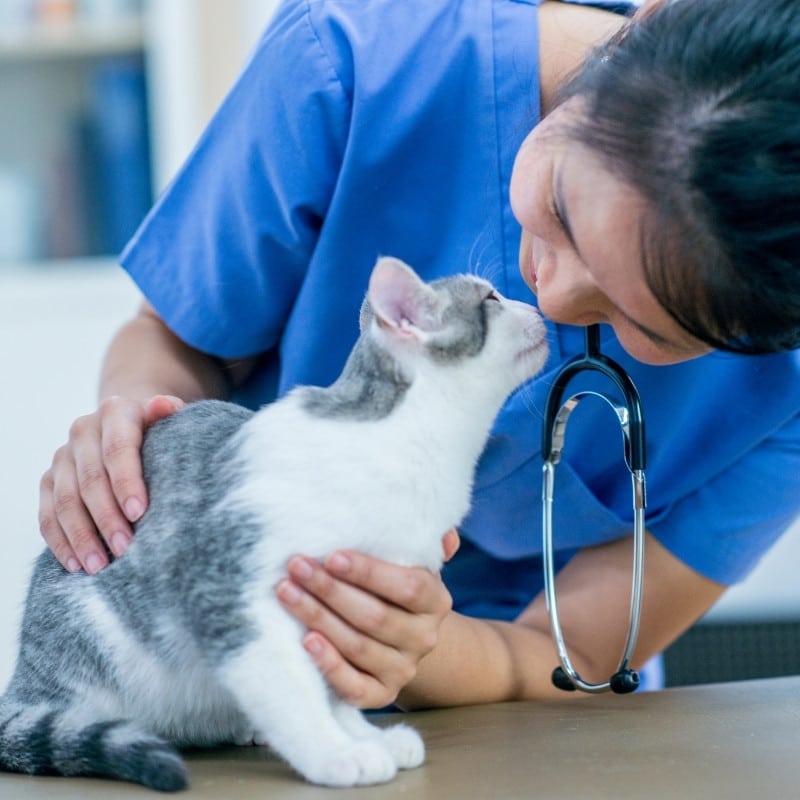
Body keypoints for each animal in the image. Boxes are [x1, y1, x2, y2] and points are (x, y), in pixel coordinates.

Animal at [0, 255, 548, 788]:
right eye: (491, 298)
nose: (535, 304)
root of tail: (26, 677)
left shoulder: (338, 610)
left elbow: (333, 685)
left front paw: (360, 734)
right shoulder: (228, 587)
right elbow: (290, 685)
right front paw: (334, 753)